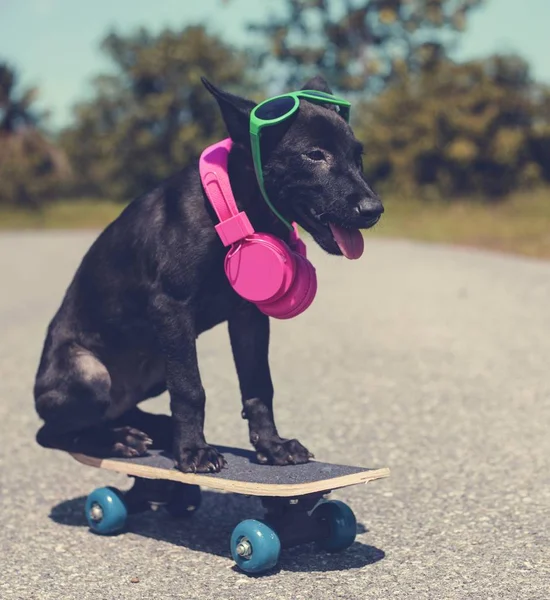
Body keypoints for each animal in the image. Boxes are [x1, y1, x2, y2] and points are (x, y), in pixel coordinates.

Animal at [32, 74, 384, 474]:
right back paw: (119, 439)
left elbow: (258, 384)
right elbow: (190, 389)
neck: (233, 210)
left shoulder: (248, 317)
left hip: (157, 366)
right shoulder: (170, 308)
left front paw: (272, 445)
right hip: (93, 374)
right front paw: (193, 451)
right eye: (314, 155)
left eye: (358, 156)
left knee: (119, 410)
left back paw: (152, 427)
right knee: (57, 432)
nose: (374, 209)